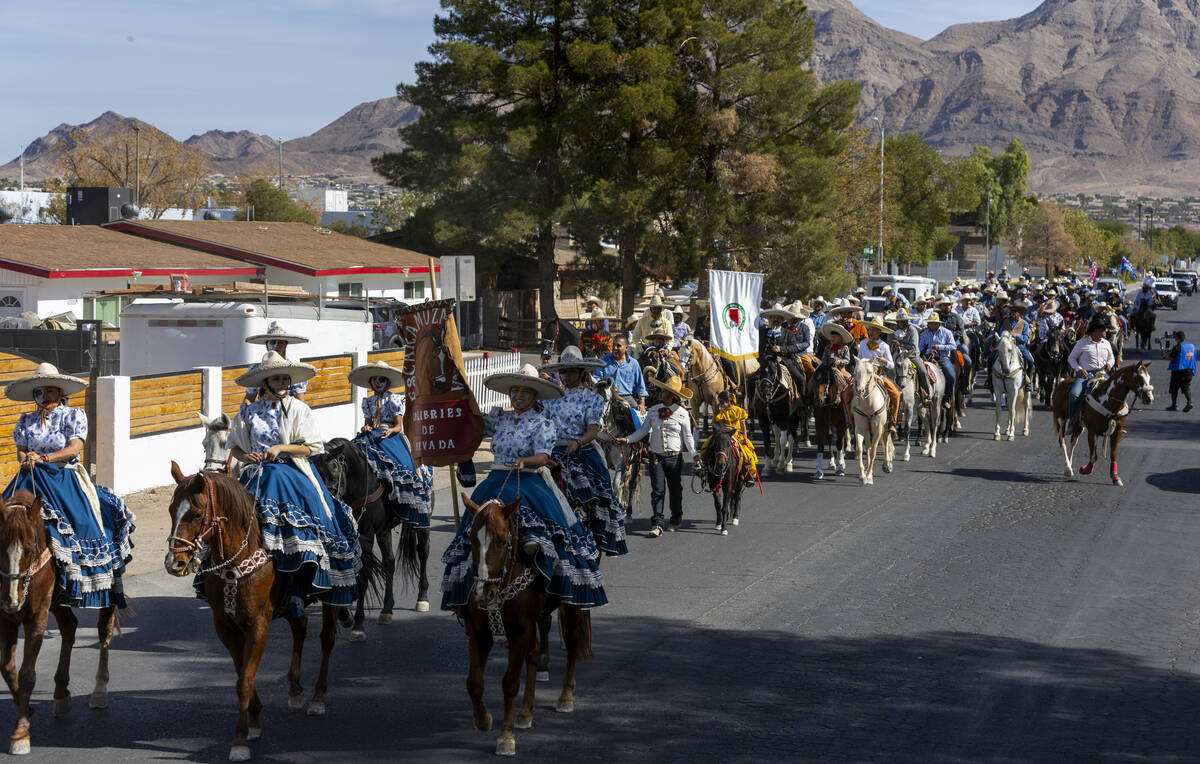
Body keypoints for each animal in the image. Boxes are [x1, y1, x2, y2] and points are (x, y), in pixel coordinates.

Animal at [0, 491, 118, 753]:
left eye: (29, 549)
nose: (11, 600)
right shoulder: (6, 619)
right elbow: (7, 668)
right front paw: (29, 711)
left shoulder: (36, 616)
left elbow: (27, 674)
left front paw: (20, 733)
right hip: (57, 603)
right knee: (69, 628)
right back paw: (61, 693)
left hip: (109, 588)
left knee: (104, 631)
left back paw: (100, 690)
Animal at [166, 462, 381, 758]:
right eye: (171, 509)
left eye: (197, 513)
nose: (173, 562)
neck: (237, 562)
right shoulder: (224, 625)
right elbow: (242, 673)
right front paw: (254, 720)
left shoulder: (257, 624)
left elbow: (244, 681)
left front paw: (240, 741)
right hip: (290, 603)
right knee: (301, 629)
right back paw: (295, 689)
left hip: (331, 593)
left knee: (327, 639)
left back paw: (317, 697)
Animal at [312, 438, 429, 633]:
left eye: (333, 476)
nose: (326, 510)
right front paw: (345, 616)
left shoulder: (365, 537)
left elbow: (362, 579)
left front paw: (358, 624)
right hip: (384, 531)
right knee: (389, 563)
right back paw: (387, 609)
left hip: (423, 520)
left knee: (422, 552)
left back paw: (422, 597)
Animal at [456, 494, 592, 758]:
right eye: (471, 540)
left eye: (501, 541)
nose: (483, 594)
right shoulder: (479, 633)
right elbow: (473, 682)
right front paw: (483, 719)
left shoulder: (521, 631)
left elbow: (510, 683)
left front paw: (505, 737)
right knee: (535, 654)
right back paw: (526, 711)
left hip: (570, 606)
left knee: (571, 644)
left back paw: (565, 696)